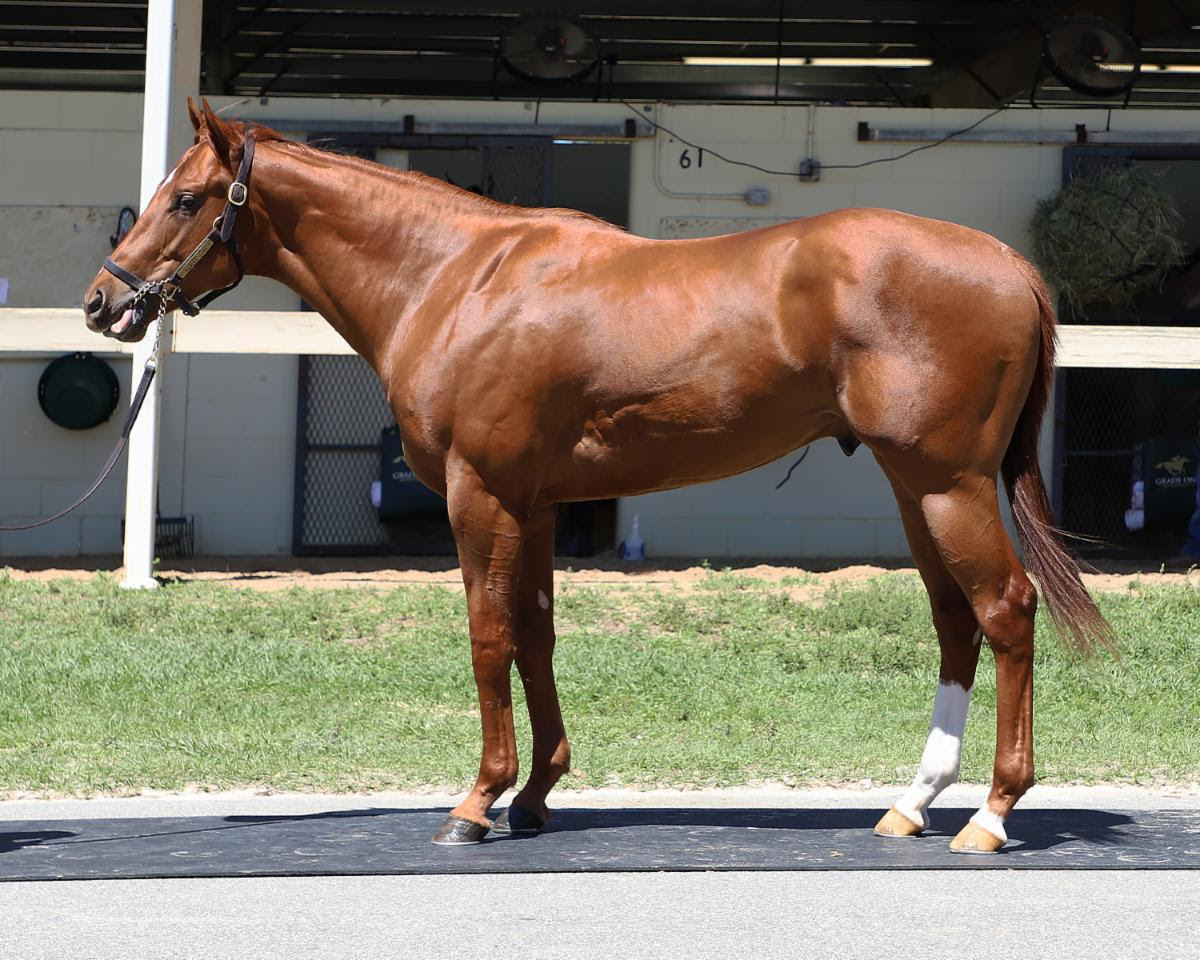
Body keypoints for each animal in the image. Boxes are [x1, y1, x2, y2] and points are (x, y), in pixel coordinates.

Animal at [87, 103, 1113, 854]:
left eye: (187, 198)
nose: (103, 303)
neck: (459, 280)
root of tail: (1008, 264)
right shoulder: (536, 506)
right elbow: (537, 639)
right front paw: (537, 792)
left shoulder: (480, 496)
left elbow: (489, 639)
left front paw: (477, 802)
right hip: (916, 490)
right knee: (955, 622)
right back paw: (912, 803)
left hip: (948, 485)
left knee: (1005, 609)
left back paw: (991, 815)